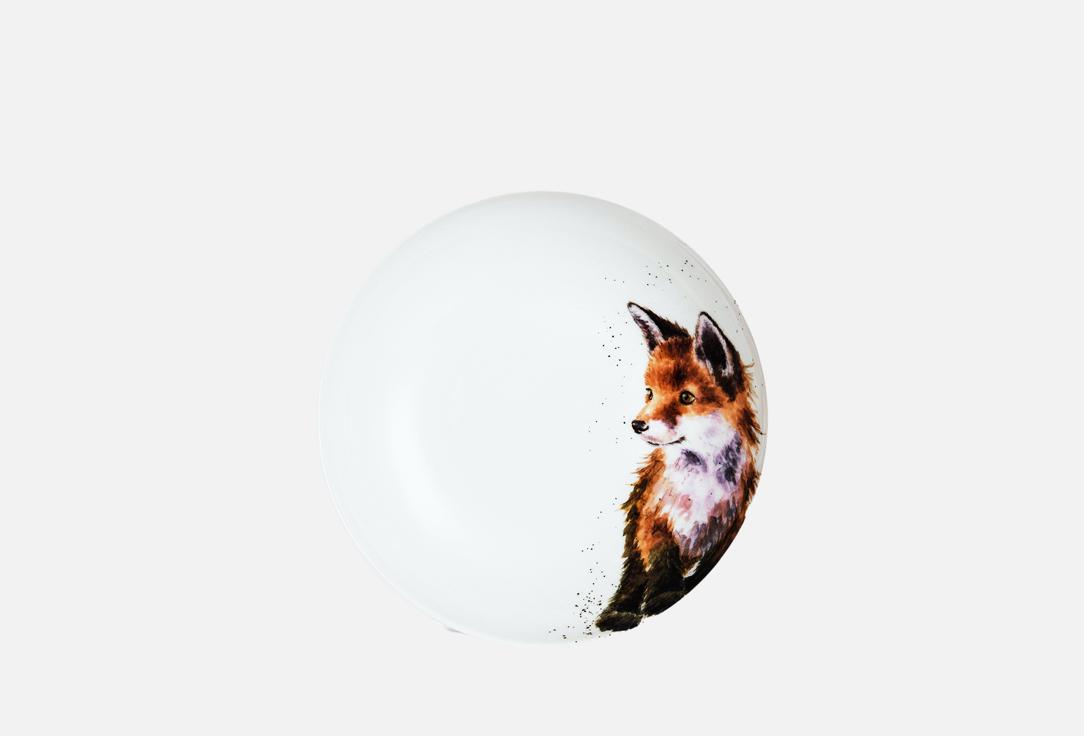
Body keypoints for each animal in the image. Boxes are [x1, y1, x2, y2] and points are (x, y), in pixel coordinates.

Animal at [595, 302, 762, 632]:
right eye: (650, 392)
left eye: (686, 397)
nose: (637, 424)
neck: (699, 490)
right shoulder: (654, 520)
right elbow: (661, 563)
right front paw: (663, 596)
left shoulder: (730, 524)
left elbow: (702, 569)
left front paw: (667, 597)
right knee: (632, 580)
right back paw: (620, 612)